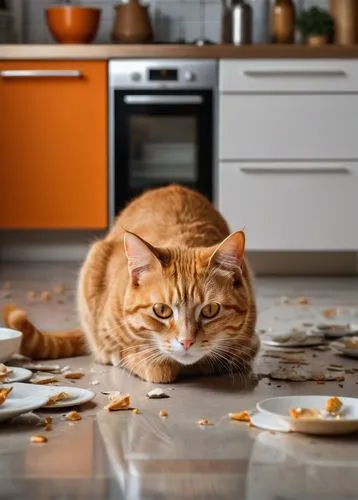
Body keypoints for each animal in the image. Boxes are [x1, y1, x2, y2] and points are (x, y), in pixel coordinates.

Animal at [3, 185, 260, 382]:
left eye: (210, 310)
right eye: (162, 310)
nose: (186, 341)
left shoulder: (249, 342)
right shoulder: (107, 334)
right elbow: (149, 363)